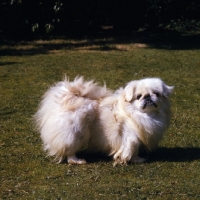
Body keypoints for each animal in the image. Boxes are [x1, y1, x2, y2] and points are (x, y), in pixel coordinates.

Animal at [34, 76, 173, 165]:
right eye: (139, 96)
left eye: (156, 94)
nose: (148, 97)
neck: (145, 115)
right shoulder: (130, 136)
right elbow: (131, 148)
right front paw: (130, 160)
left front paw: (137, 159)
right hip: (74, 132)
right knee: (69, 149)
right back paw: (77, 161)